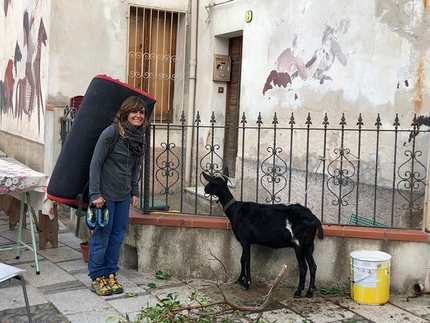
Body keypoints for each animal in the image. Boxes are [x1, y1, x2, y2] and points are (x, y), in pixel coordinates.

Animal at [203, 170, 324, 298]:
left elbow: (247, 260)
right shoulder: (245, 241)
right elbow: (242, 259)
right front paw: (240, 279)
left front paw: (246, 283)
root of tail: (314, 218)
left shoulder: (245, 240)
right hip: (309, 244)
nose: (205, 188)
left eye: (211, 182)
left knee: (303, 267)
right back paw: (309, 292)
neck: (236, 210)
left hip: (299, 244)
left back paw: (298, 291)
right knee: (313, 266)